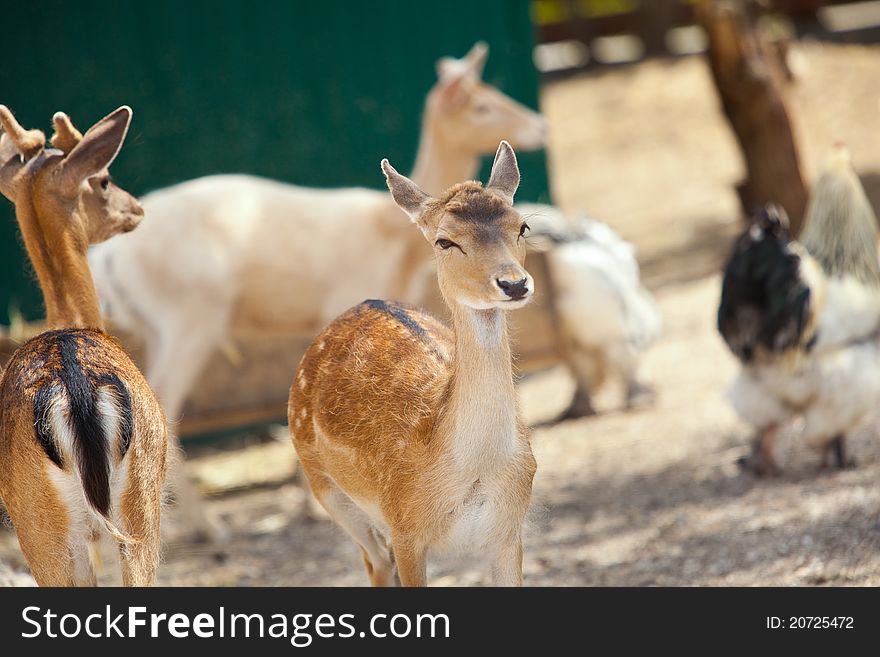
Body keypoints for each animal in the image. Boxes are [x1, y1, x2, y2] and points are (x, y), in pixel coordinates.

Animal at [288, 142, 536, 584]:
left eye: (522, 225)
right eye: (445, 241)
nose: (514, 283)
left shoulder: (510, 530)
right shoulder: (404, 528)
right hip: (330, 493)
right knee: (375, 561)